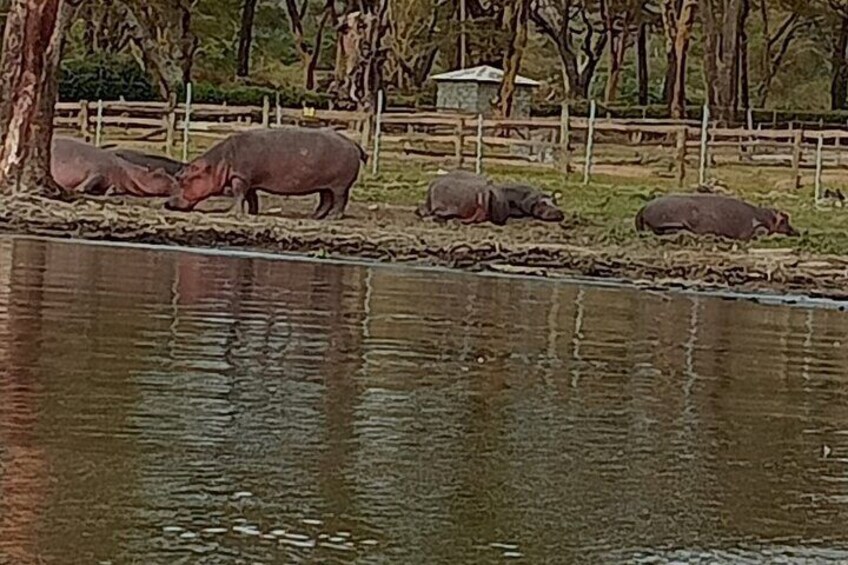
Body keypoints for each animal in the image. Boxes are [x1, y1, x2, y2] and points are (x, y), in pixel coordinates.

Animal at [51, 136, 179, 196]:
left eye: (163, 169)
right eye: (160, 172)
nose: (177, 180)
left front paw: (110, 191)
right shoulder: (98, 169)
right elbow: (94, 177)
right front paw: (79, 189)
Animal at [164, 126, 366, 217]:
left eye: (180, 178)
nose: (167, 203)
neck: (218, 162)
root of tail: (353, 143)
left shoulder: (240, 177)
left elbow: (239, 195)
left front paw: (232, 213)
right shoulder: (247, 179)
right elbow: (251, 197)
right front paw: (253, 213)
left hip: (340, 185)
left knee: (339, 200)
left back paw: (331, 218)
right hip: (326, 185)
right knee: (326, 200)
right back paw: (314, 217)